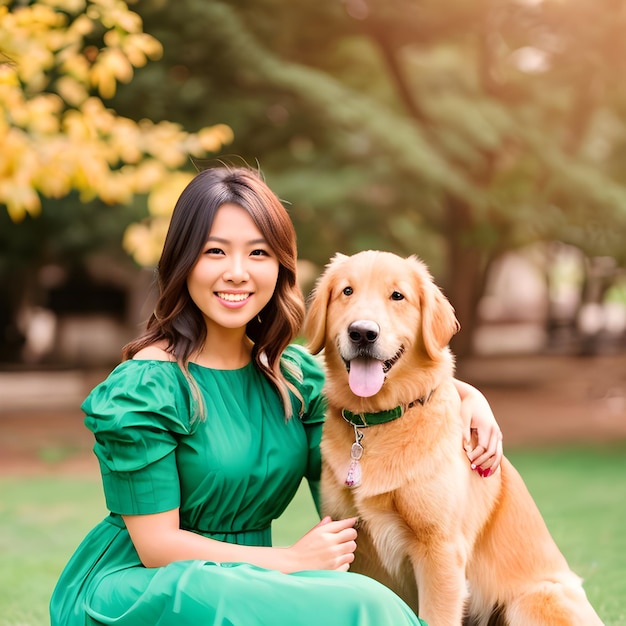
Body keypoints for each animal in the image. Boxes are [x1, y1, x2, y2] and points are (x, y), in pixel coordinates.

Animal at [302, 250, 604, 624]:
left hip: (535, 599)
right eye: (347, 291)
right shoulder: (351, 542)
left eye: (397, 296)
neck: (376, 422)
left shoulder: (440, 551)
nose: (362, 333)